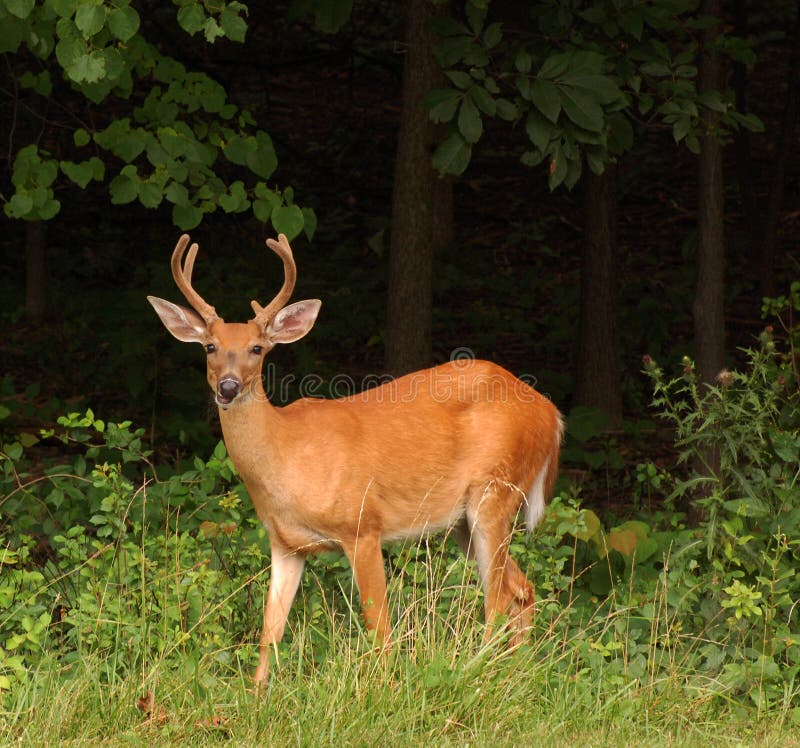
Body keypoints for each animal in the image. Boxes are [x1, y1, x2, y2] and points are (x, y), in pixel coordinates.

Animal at [150, 232, 564, 684]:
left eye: (257, 348)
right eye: (210, 347)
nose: (227, 387)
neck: (285, 457)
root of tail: (551, 414)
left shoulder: (363, 525)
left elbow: (379, 628)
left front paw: (385, 687)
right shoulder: (286, 544)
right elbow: (269, 633)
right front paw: (257, 693)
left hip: (495, 491)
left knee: (498, 600)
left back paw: (474, 674)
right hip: (464, 522)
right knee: (522, 590)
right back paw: (514, 673)